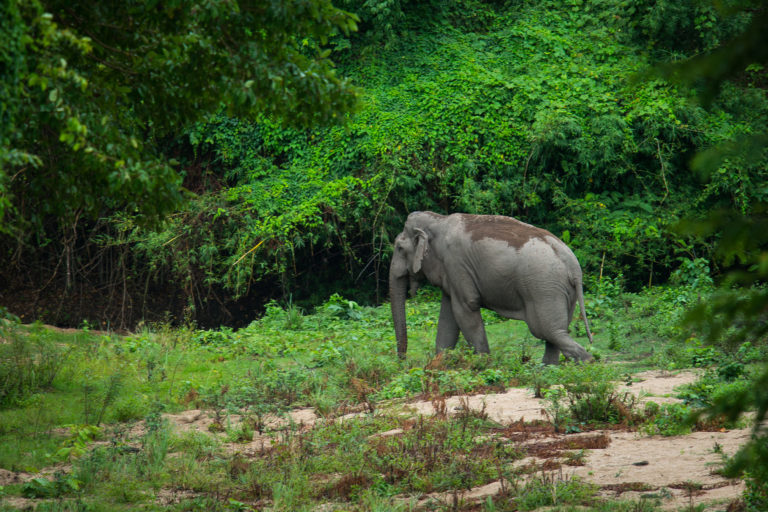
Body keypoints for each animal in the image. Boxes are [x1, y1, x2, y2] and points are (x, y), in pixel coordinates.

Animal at [390, 209, 592, 364]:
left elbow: (465, 310)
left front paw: (482, 365)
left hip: (543, 287)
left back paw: (586, 362)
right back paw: (547, 370)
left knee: (548, 331)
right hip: (562, 291)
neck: (439, 220)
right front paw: (438, 366)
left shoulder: (456, 264)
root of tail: (574, 265)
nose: (403, 362)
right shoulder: (451, 273)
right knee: (555, 332)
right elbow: (448, 319)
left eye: (399, 248)